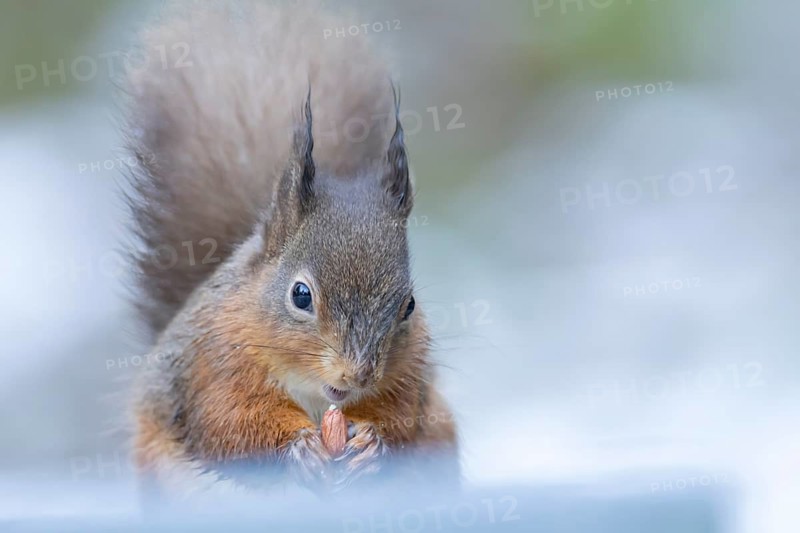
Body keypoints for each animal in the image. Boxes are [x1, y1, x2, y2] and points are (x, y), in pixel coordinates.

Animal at [122, 1, 458, 498]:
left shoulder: (410, 376)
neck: (318, 396)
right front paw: (298, 448)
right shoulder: (212, 364)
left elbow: (401, 418)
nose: (359, 375)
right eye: (301, 295)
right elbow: (228, 422)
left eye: (410, 305)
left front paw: (372, 441)